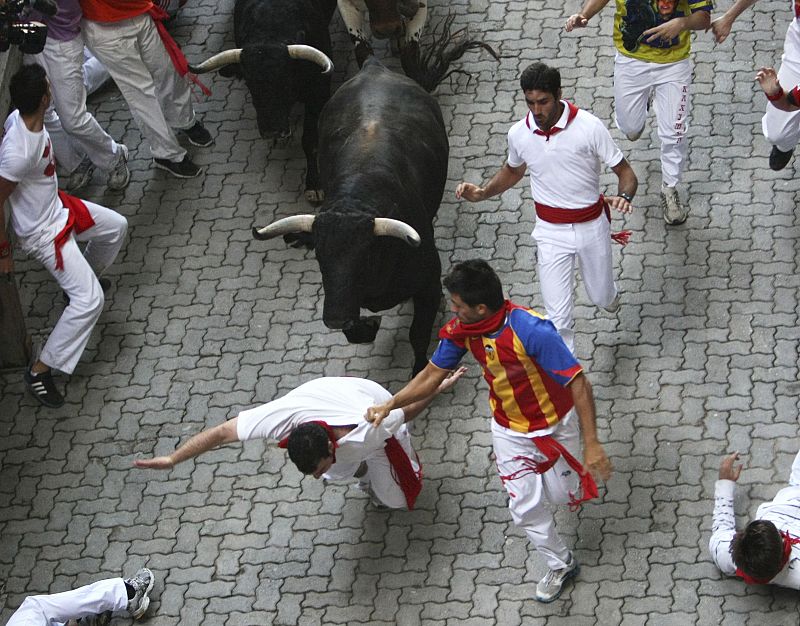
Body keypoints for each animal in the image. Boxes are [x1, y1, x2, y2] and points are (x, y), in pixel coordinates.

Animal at [253, 56, 446, 372]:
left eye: (364, 257)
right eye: (319, 256)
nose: (334, 318)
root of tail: (373, 66)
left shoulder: (429, 279)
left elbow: (418, 334)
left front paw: (421, 370)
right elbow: (354, 330)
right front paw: (368, 325)